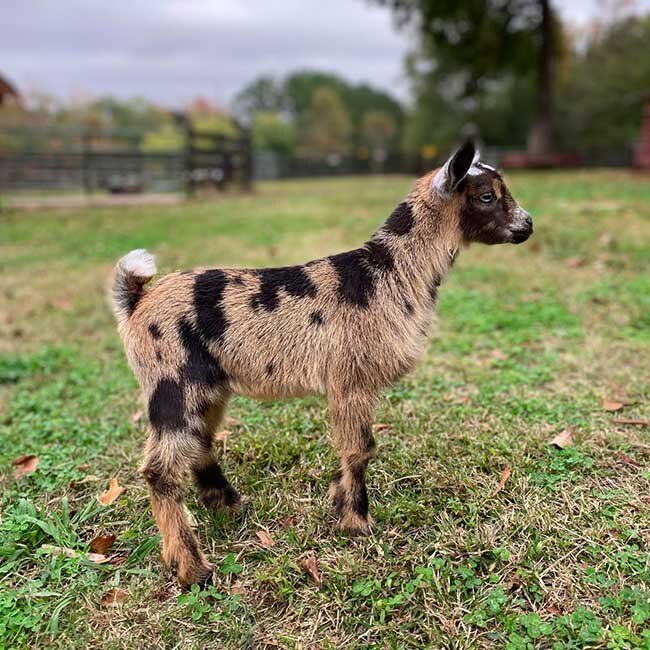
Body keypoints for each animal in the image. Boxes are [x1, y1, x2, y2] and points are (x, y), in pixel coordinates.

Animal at [112, 140, 533, 587]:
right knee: (161, 470)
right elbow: (360, 449)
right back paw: (192, 568)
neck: (387, 274)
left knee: (200, 442)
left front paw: (338, 502)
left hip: (208, 385)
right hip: (173, 380)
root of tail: (137, 299)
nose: (527, 225)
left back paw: (227, 505)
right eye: (486, 196)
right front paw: (357, 522)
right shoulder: (353, 377)